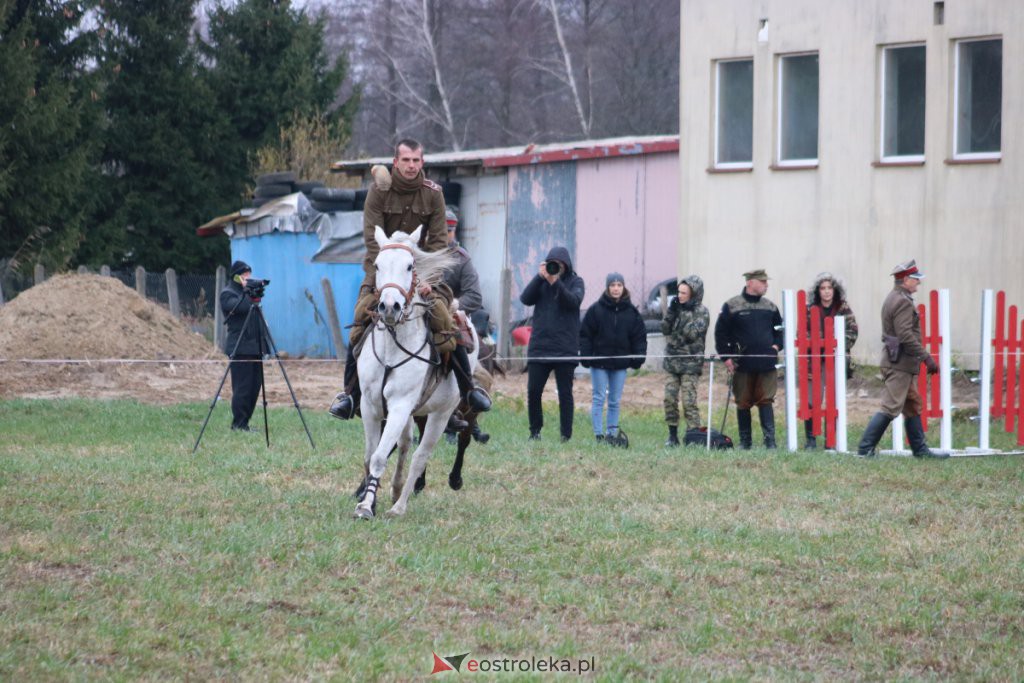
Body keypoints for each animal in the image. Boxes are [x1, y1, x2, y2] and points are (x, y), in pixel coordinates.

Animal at [354, 224, 462, 518]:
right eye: (377, 265)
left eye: (410, 265)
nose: (390, 307)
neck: (392, 346)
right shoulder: (370, 404)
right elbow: (369, 454)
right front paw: (369, 498)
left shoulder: (401, 405)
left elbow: (380, 456)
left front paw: (366, 507)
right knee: (404, 446)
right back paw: (395, 489)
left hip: (440, 415)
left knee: (419, 457)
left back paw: (399, 506)